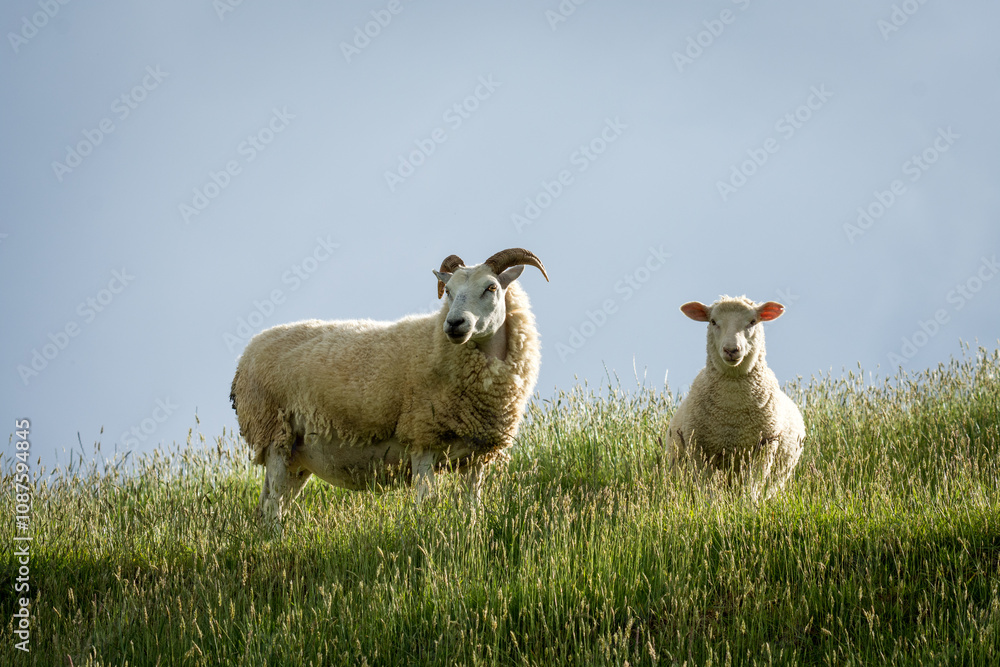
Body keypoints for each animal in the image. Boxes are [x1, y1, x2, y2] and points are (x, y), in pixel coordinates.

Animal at [230, 248, 548, 528]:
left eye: (491, 287)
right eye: (448, 291)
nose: (454, 323)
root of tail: (247, 353)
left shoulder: (477, 454)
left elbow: (472, 506)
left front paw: (470, 532)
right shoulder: (423, 438)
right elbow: (426, 503)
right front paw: (424, 534)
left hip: (297, 456)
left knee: (270, 502)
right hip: (274, 434)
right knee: (273, 506)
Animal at [666, 295, 805, 499]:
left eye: (752, 321)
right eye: (713, 321)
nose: (731, 349)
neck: (732, 410)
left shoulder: (763, 448)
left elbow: (750, 488)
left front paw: (748, 504)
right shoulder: (699, 450)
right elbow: (707, 490)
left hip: (777, 477)